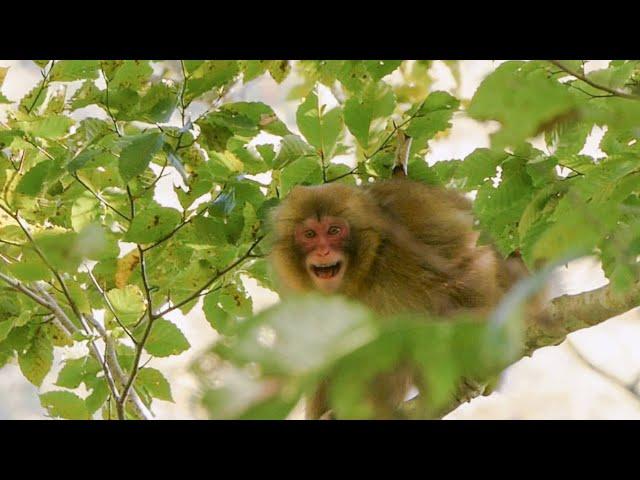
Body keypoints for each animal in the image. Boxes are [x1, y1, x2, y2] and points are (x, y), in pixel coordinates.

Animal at [268, 178, 528, 418]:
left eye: (334, 231)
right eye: (310, 234)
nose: (323, 251)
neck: (366, 269)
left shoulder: (413, 231)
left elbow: (467, 266)